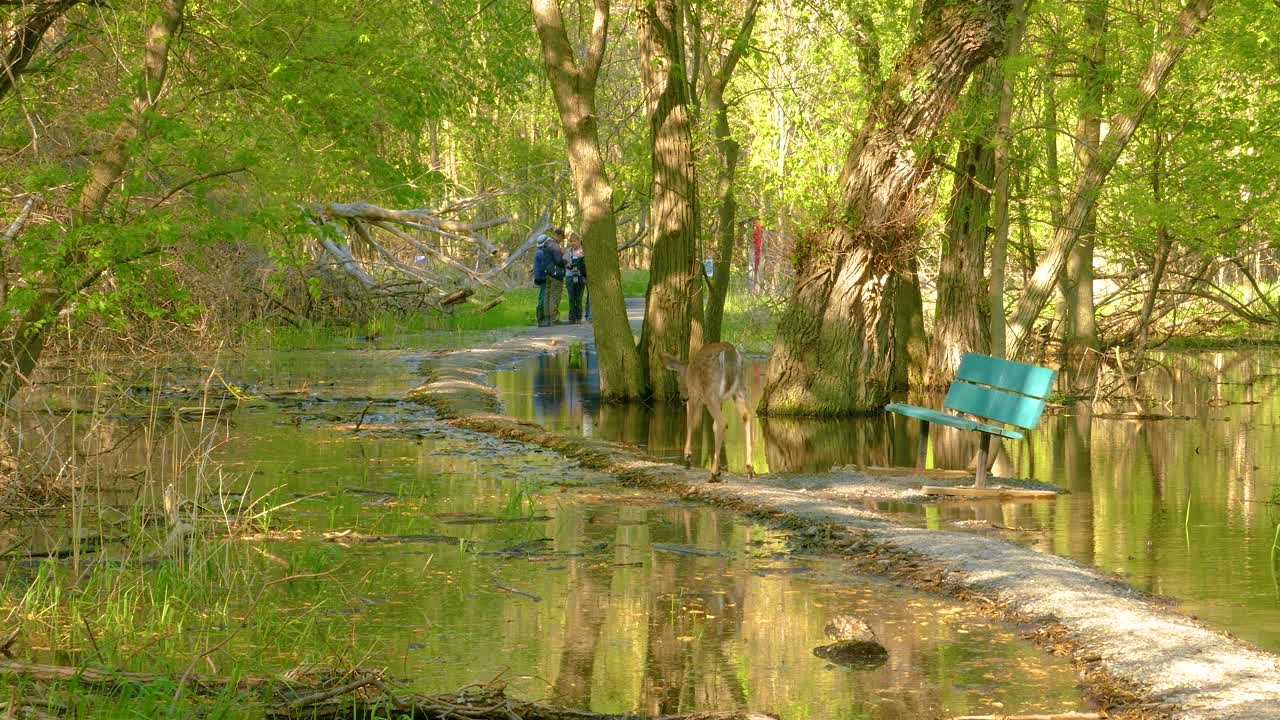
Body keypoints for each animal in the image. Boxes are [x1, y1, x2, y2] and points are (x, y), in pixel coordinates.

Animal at [659, 342, 755, 482]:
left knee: (722, 422)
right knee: (746, 415)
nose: (682, 397)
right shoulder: (720, 401)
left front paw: (687, 456)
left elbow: (690, 422)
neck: (688, 369)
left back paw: (713, 473)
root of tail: (729, 352)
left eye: (677, 377)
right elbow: (713, 427)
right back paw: (749, 469)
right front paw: (720, 468)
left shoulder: (693, 395)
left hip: (711, 392)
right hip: (740, 390)